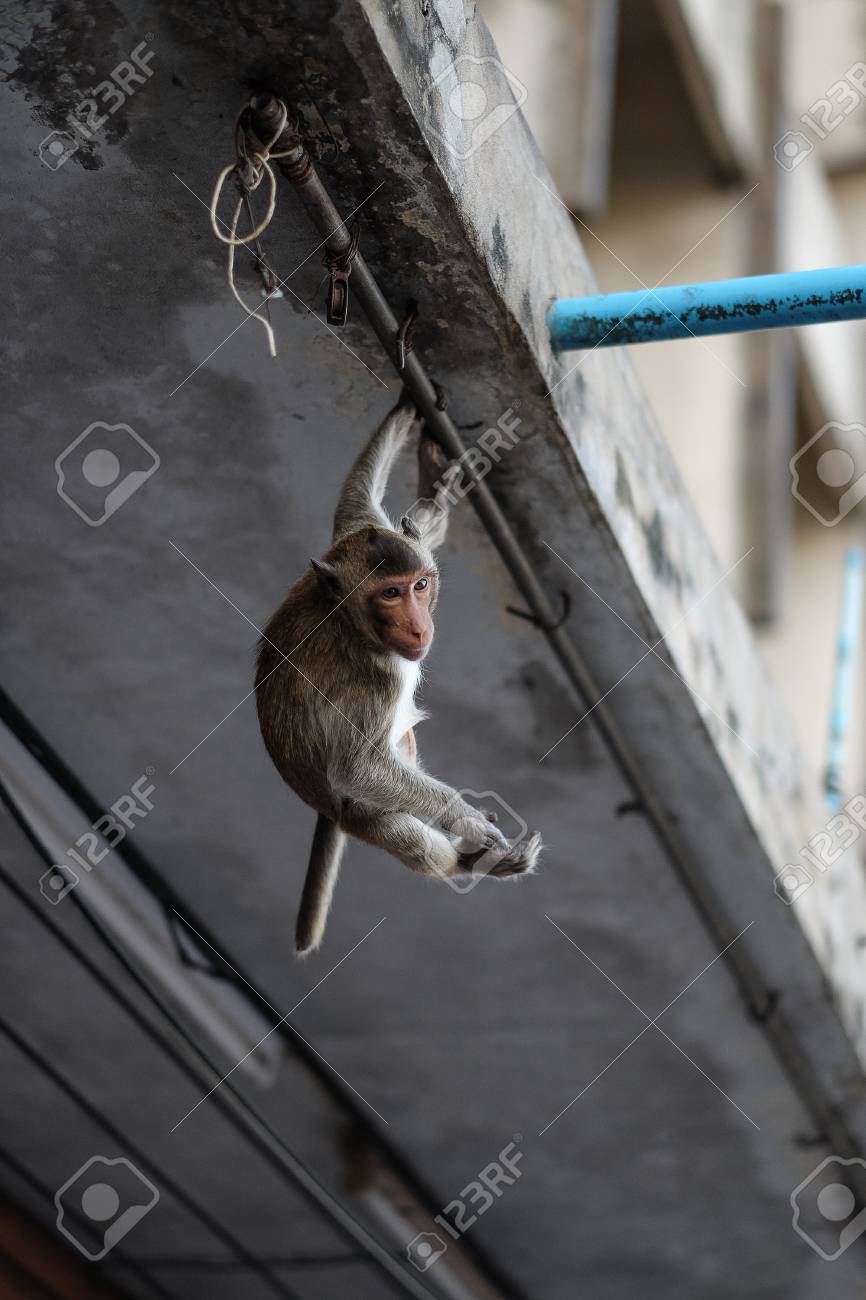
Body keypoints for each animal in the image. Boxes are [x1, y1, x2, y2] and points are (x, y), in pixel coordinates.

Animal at [255, 395, 542, 956]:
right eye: (390, 594)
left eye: (420, 585)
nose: (418, 624)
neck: (345, 615)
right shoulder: (372, 684)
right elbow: (359, 766)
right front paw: (463, 816)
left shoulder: (356, 537)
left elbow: (356, 500)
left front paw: (413, 428)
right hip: (358, 812)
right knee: (400, 830)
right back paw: (469, 863)